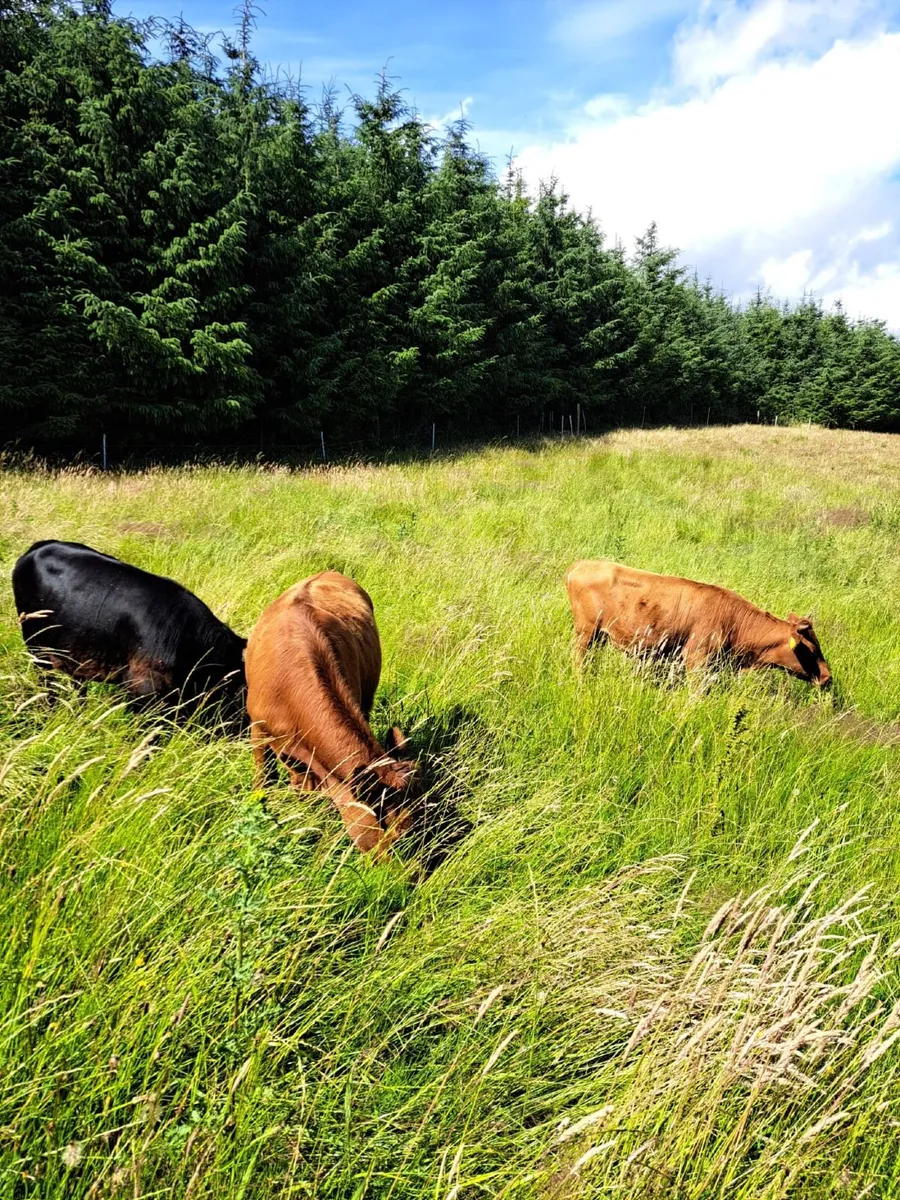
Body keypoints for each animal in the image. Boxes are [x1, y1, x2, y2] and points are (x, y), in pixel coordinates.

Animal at [565, 559, 831, 687]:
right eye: (811, 649)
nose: (827, 677)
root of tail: (582, 564)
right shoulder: (696, 658)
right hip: (585, 633)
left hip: (598, 636)